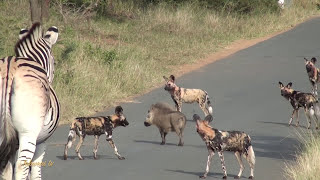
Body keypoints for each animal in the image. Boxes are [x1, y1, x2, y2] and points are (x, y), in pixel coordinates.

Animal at [0, 22, 60, 180]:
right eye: (54, 62)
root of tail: (10, 67)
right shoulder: (41, 142)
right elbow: (34, 172)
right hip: (29, 132)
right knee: (22, 167)